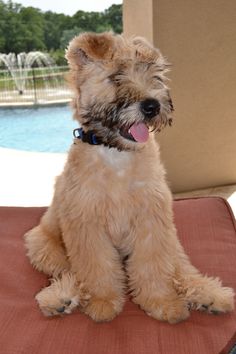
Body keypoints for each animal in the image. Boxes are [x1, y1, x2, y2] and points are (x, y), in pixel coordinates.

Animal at [24, 31, 234, 322]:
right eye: (116, 76)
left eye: (155, 75)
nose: (152, 106)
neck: (117, 156)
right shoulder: (87, 224)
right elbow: (97, 268)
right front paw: (103, 302)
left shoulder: (151, 220)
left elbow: (152, 266)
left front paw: (161, 302)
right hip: (43, 245)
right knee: (69, 273)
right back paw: (60, 298)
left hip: (172, 239)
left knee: (181, 268)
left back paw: (209, 295)